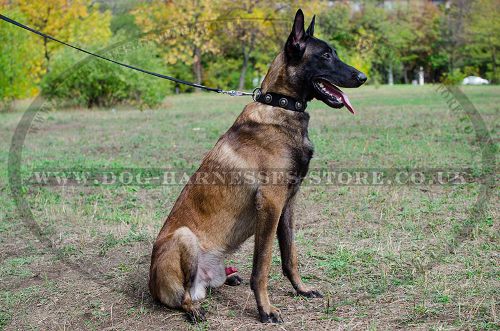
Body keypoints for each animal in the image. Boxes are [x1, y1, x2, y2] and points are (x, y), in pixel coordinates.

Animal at [148, 8, 368, 324]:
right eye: (326, 55)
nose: (363, 76)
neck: (280, 105)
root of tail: (151, 284)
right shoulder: (271, 203)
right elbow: (262, 266)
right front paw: (266, 309)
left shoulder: (288, 204)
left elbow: (290, 256)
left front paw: (301, 289)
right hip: (183, 237)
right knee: (184, 297)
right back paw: (194, 309)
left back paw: (230, 278)